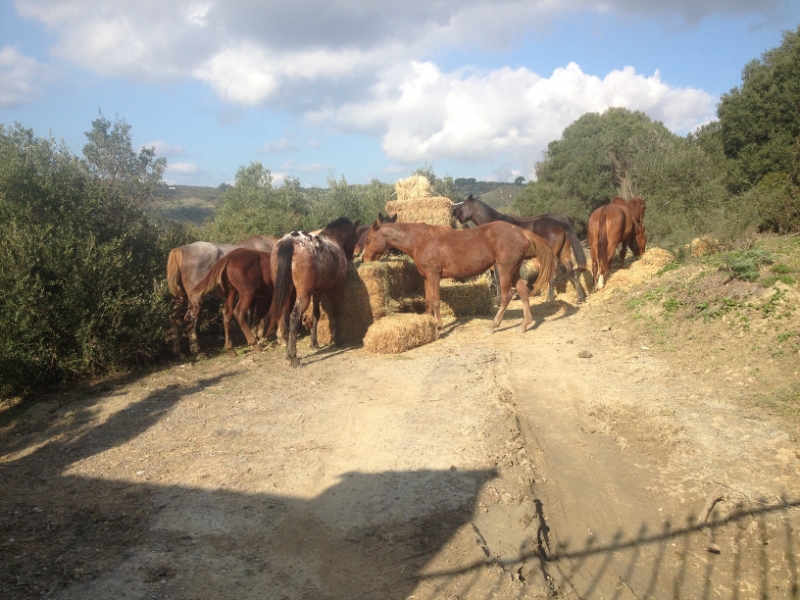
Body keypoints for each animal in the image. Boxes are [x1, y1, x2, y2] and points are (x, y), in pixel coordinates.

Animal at [265, 217, 360, 368]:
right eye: (355, 238)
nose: (350, 257)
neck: (334, 239)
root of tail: (289, 242)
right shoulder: (338, 288)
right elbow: (336, 312)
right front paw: (337, 339)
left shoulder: (317, 293)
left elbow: (316, 314)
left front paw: (314, 342)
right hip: (303, 295)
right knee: (294, 317)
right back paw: (294, 358)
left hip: (288, 292)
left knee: (284, 317)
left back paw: (287, 354)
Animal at [362, 220, 556, 332]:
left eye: (368, 239)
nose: (364, 260)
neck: (421, 241)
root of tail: (522, 232)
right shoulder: (426, 277)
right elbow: (428, 301)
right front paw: (428, 323)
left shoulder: (433, 276)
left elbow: (435, 301)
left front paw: (439, 326)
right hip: (513, 270)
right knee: (523, 292)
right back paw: (524, 324)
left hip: (505, 270)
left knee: (506, 296)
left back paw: (494, 325)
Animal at [452, 195, 588, 302]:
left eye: (462, 206)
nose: (453, 212)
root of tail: (561, 223)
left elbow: (498, 279)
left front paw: (498, 300)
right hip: (564, 253)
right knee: (572, 272)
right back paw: (580, 298)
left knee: (554, 274)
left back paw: (549, 298)